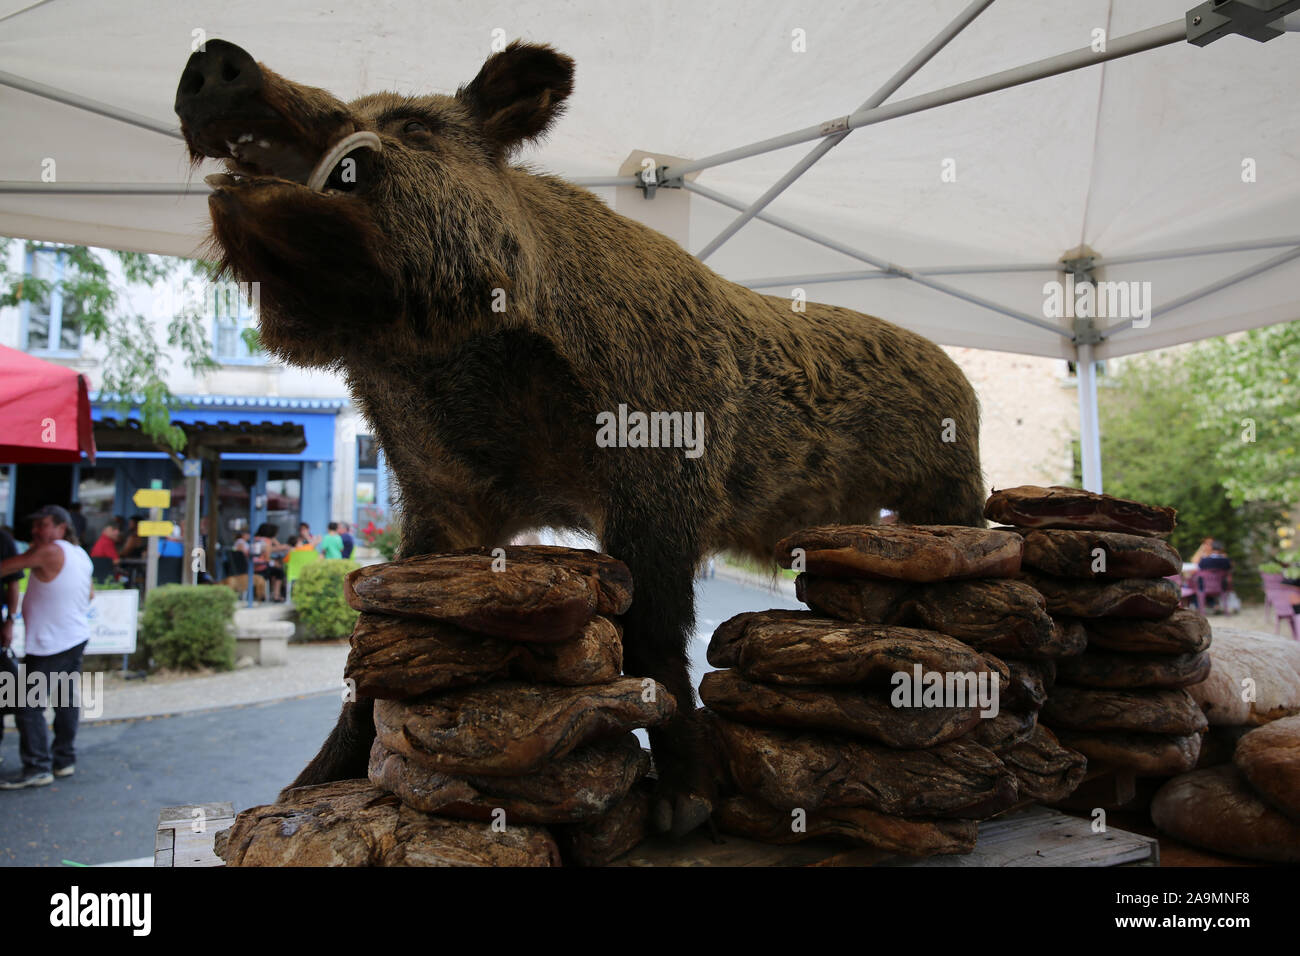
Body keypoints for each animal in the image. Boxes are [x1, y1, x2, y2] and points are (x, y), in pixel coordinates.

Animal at [175, 39, 986, 837]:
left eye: (414, 127)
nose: (214, 57)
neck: (450, 365)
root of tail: (958, 371)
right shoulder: (439, 496)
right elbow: (372, 654)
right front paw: (287, 796)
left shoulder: (663, 470)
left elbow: (651, 632)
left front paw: (680, 812)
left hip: (953, 476)